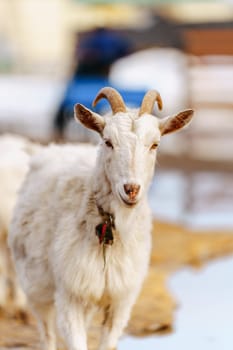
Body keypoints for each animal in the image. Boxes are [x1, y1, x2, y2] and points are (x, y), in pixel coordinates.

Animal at [8, 88, 193, 350]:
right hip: (37, 287)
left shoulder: (120, 302)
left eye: (155, 144)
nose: (131, 189)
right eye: (108, 142)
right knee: (47, 333)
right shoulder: (70, 295)